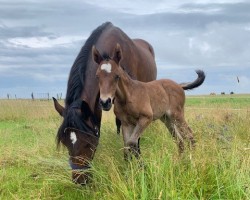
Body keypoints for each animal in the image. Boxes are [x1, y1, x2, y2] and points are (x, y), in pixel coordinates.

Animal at [53, 21, 157, 184]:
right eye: (65, 142)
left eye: (88, 143)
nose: (80, 181)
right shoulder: (98, 105)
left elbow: (133, 140)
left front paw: (136, 166)